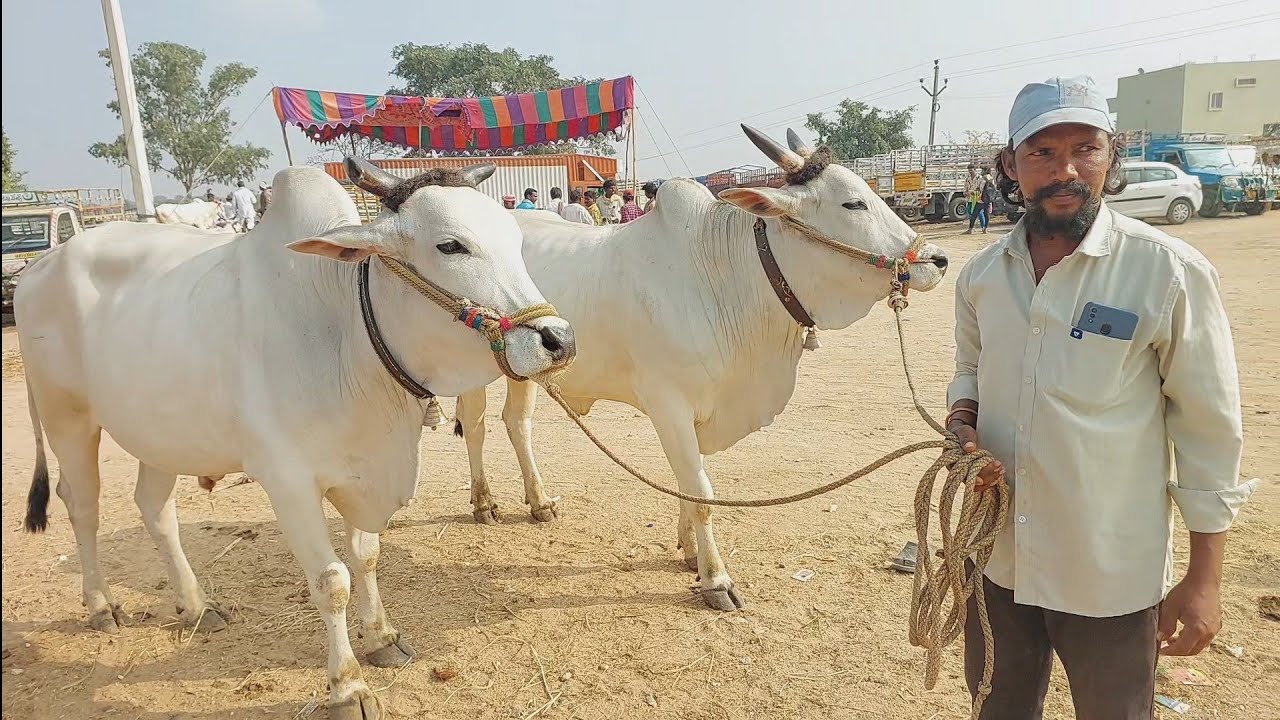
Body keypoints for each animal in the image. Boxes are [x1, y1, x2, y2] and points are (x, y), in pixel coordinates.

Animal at [16, 158, 575, 718]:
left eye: (515, 240)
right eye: (451, 245)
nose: (559, 339)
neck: (347, 333)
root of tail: (38, 267)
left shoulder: (362, 470)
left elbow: (366, 555)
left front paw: (381, 638)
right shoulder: (288, 483)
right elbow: (332, 581)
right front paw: (348, 687)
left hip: (160, 432)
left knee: (153, 508)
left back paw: (195, 607)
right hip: (68, 418)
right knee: (81, 504)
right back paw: (101, 605)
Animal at [453, 126, 949, 611]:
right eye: (853, 203)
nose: (938, 261)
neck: (724, 279)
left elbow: (688, 484)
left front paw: (690, 550)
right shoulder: (668, 405)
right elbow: (702, 491)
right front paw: (715, 579)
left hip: (526, 370)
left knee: (517, 423)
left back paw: (539, 502)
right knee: (476, 426)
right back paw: (484, 503)